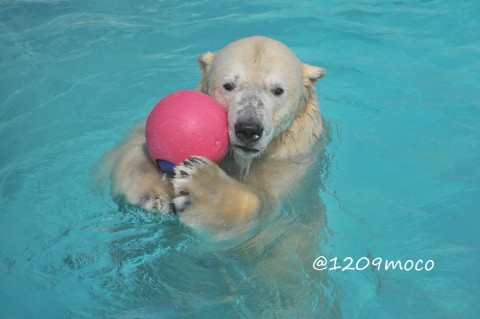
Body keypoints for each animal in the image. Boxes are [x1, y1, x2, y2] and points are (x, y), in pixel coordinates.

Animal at [106, 36, 326, 236]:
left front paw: (202, 186)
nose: (248, 129)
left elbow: (266, 209)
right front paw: (155, 194)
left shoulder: (293, 164)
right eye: (228, 85)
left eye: (278, 90)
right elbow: (129, 151)